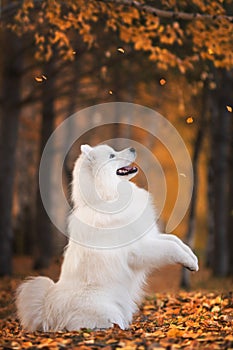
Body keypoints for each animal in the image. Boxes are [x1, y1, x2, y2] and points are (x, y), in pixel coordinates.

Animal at [16, 144, 198, 330]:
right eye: (112, 156)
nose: (133, 148)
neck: (108, 198)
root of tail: (48, 310)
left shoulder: (148, 237)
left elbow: (175, 241)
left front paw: (192, 259)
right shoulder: (138, 251)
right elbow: (171, 247)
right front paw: (189, 262)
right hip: (107, 313)